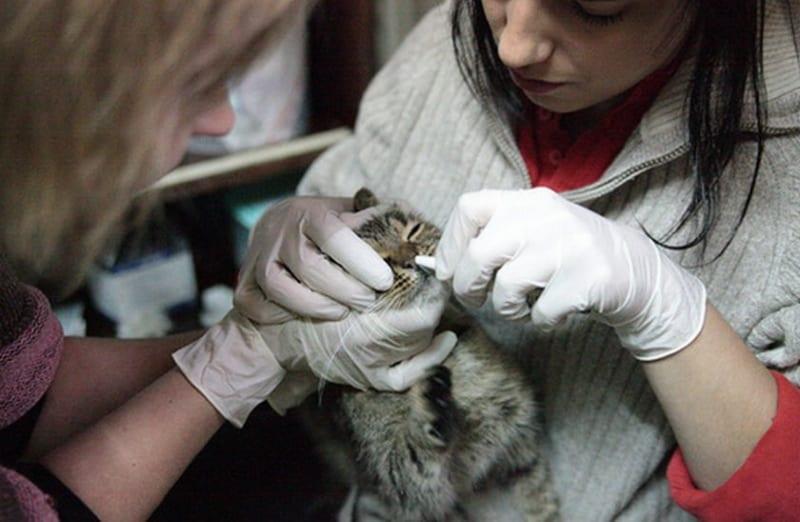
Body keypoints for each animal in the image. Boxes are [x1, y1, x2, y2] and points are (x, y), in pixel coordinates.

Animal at [304, 188, 560, 520]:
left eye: (412, 231)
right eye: (378, 262)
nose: (412, 260)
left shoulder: (523, 451)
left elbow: (542, 504)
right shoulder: (408, 487)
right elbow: (414, 458)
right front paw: (431, 408)